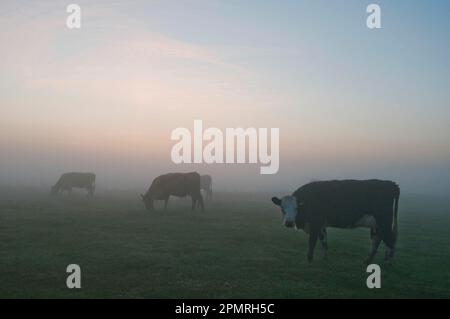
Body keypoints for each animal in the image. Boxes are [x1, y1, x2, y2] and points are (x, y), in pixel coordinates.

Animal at [270, 180, 400, 264]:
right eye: (282, 208)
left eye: (296, 208)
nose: (288, 223)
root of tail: (391, 184)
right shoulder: (321, 225)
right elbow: (324, 241)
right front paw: (325, 257)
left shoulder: (315, 223)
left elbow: (312, 242)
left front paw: (309, 259)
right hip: (377, 225)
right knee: (377, 239)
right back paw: (368, 260)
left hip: (384, 222)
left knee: (390, 240)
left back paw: (388, 262)